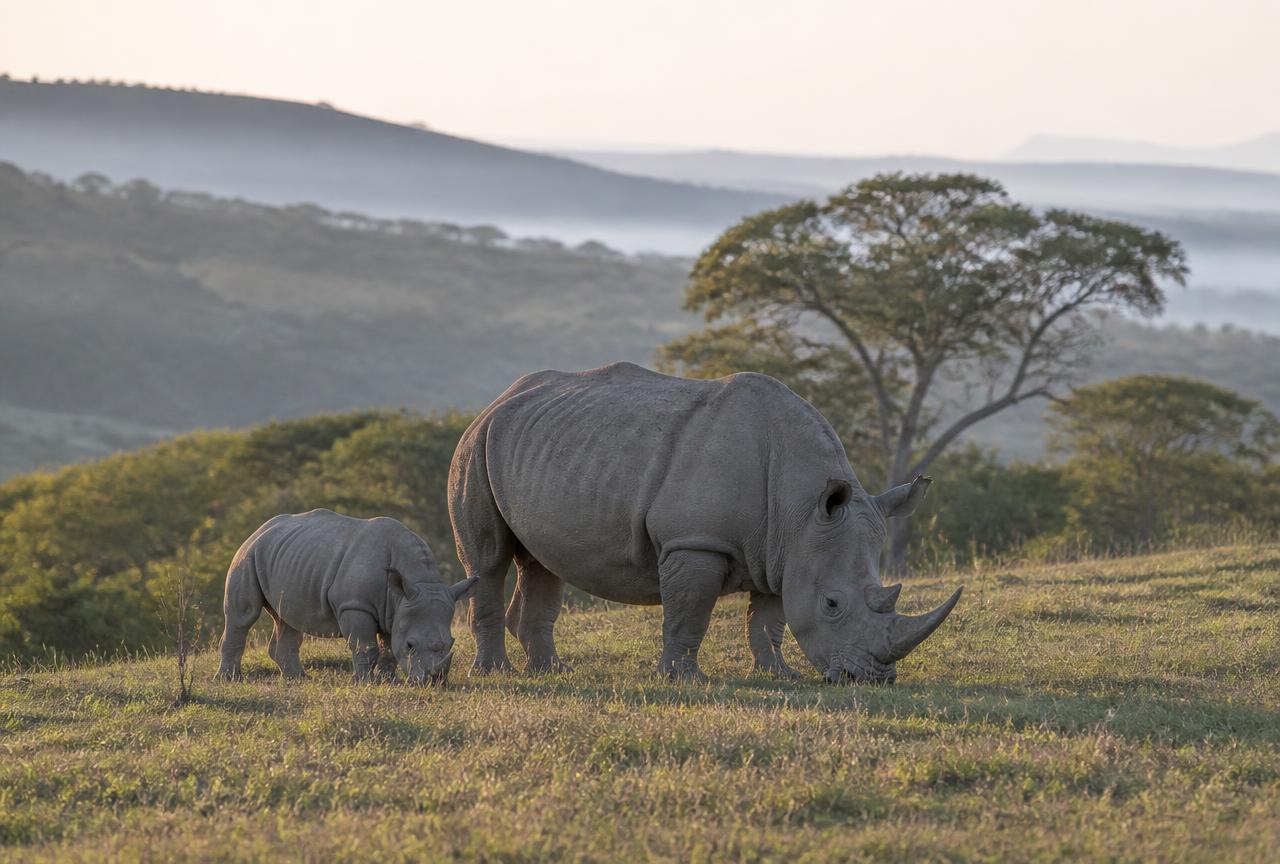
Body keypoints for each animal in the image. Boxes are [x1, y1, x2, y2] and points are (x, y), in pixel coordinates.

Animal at [216, 509, 477, 685]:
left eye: (451, 642)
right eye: (411, 645)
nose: (434, 682)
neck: (417, 581)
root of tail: (259, 529)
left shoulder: (396, 608)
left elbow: (390, 647)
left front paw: (388, 681)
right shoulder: (355, 606)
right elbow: (366, 645)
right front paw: (365, 682)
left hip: (285, 555)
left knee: (287, 618)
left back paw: (299, 679)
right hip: (248, 555)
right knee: (243, 616)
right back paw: (229, 680)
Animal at [448, 363, 960, 683]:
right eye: (832, 604)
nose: (870, 679)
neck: (800, 506)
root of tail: (497, 400)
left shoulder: (784, 549)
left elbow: (769, 619)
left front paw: (777, 673)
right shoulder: (695, 541)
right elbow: (689, 612)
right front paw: (682, 679)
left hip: (534, 443)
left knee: (542, 561)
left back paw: (551, 671)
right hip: (474, 446)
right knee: (488, 560)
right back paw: (496, 674)